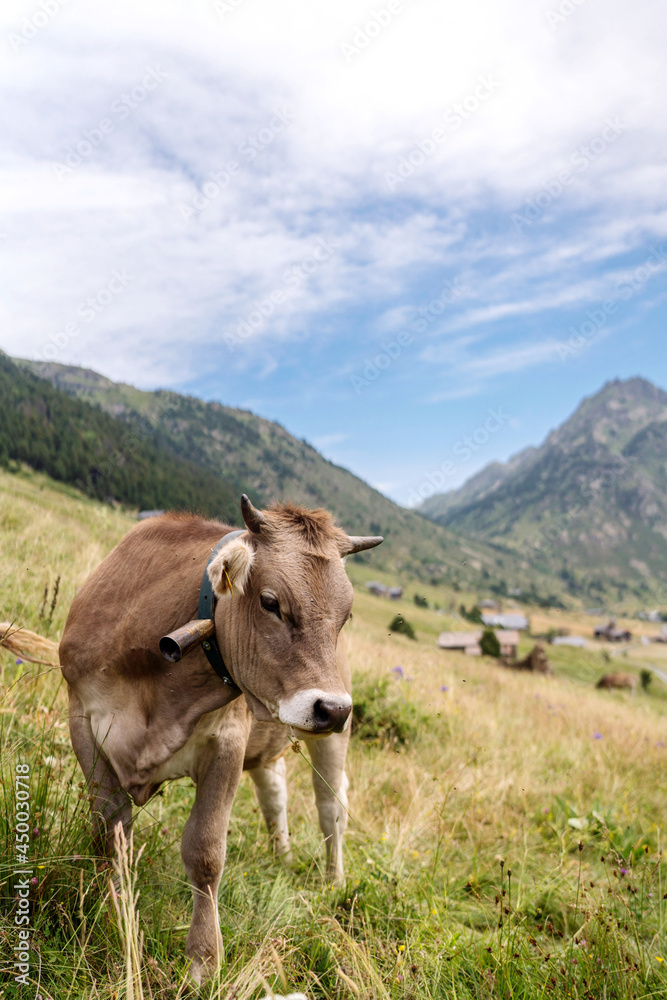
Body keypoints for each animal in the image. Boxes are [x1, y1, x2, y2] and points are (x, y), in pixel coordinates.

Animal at [60, 496, 384, 980]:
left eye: (345, 617)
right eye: (270, 602)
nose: (333, 709)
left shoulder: (227, 742)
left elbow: (205, 852)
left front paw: (204, 961)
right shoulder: (83, 721)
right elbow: (110, 833)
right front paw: (115, 914)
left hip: (331, 739)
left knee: (331, 808)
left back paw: (334, 881)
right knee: (275, 791)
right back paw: (282, 857)